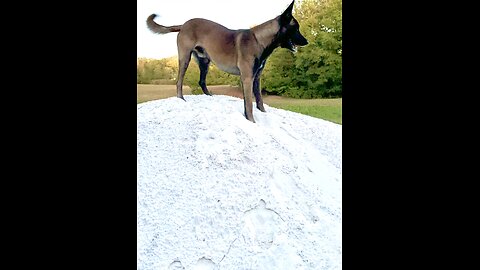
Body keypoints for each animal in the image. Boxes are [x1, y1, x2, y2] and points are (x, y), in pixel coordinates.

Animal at [146, 0, 308, 122]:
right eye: (296, 28)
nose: (306, 41)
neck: (259, 40)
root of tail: (184, 24)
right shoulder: (247, 78)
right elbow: (249, 105)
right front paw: (251, 121)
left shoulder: (256, 78)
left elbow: (259, 100)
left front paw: (262, 113)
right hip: (185, 58)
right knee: (179, 81)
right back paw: (181, 99)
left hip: (204, 62)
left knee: (201, 81)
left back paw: (210, 96)